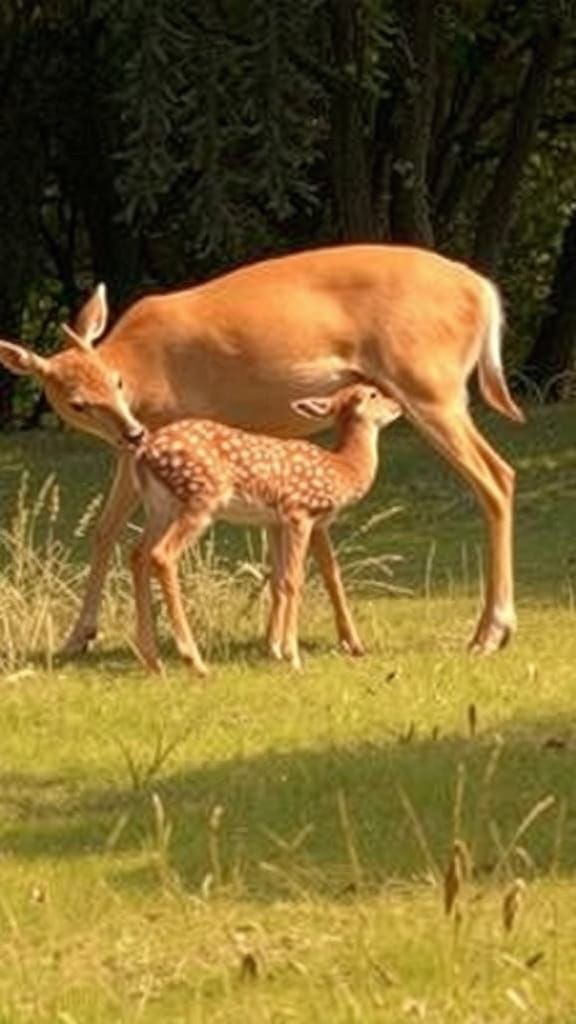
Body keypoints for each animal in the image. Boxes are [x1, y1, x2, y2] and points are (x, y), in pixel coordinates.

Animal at [130, 385, 401, 674]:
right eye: (372, 394)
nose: (397, 404)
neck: (344, 469)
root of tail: (143, 453)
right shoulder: (300, 512)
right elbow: (294, 579)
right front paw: (293, 655)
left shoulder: (279, 523)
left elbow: (286, 580)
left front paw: (275, 650)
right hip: (201, 498)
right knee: (162, 554)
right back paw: (194, 660)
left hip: (159, 505)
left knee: (137, 554)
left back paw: (152, 659)